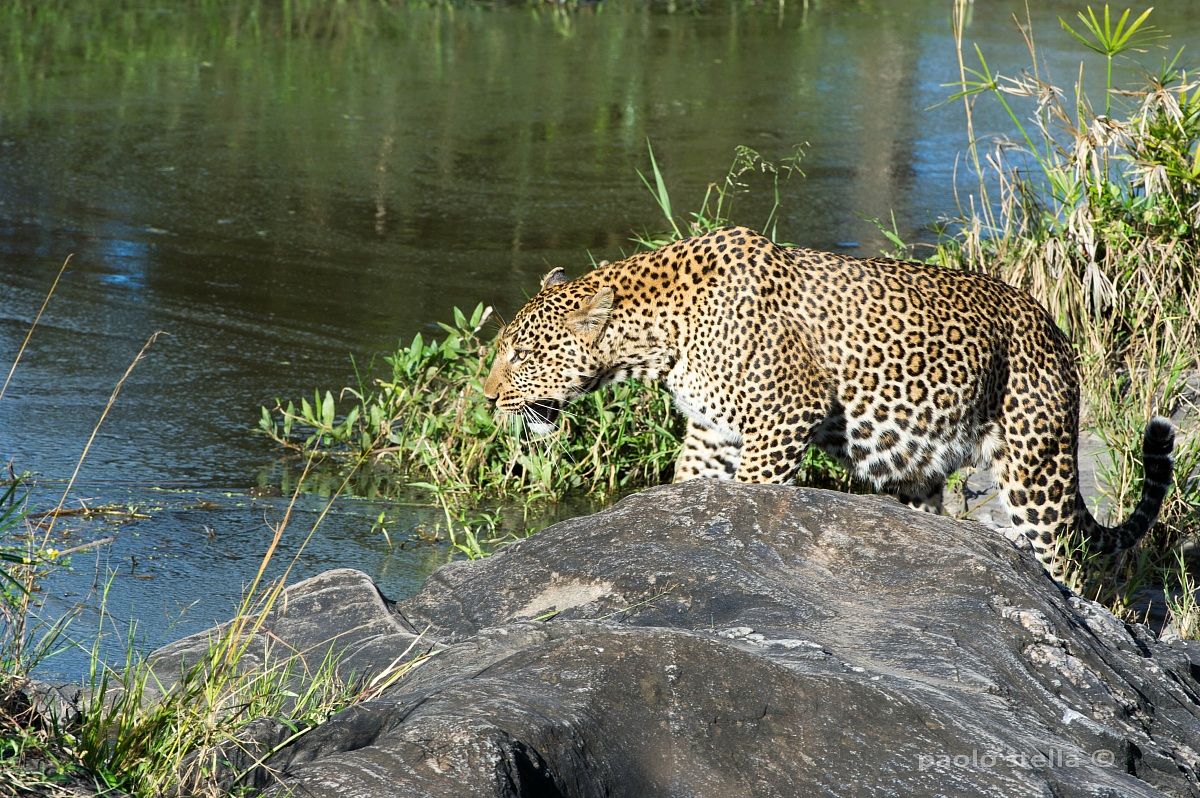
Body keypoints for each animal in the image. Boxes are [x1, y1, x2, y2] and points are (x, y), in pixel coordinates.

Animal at [482, 226, 1175, 580]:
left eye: (520, 354)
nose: (488, 398)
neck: (658, 338)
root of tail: (1057, 334)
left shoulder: (784, 417)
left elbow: (755, 491)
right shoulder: (711, 432)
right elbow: (688, 484)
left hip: (1036, 471)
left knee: (1066, 561)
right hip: (921, 469)